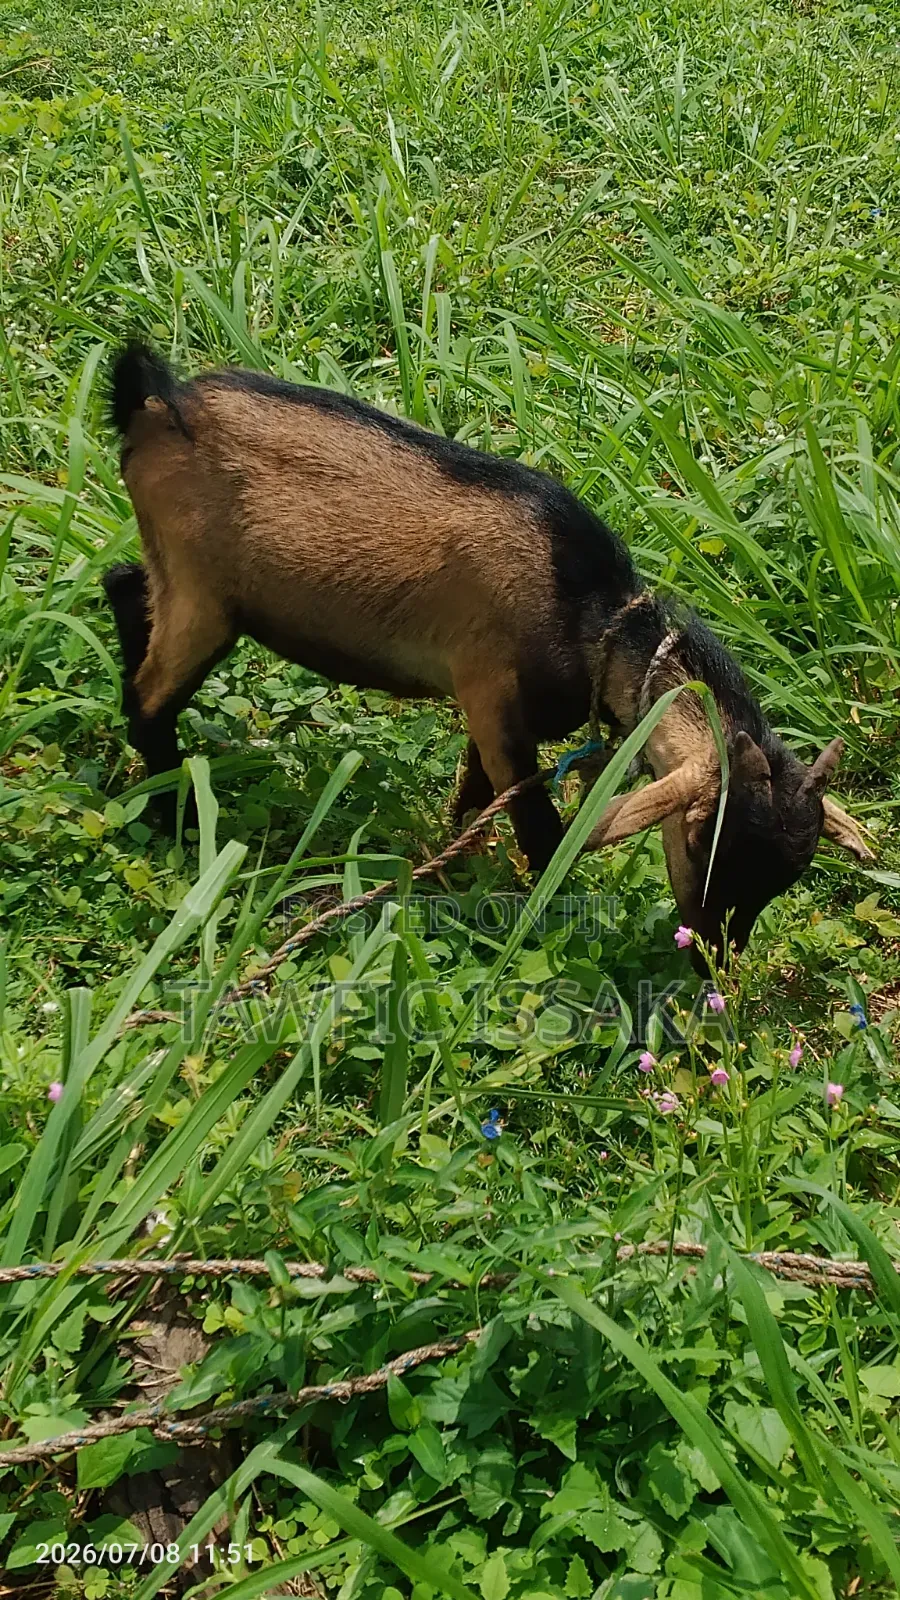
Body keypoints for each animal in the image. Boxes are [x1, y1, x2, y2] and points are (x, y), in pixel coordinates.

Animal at [103, 342, 872, 962]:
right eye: (705, 845)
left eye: (786, 876)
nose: (714, 960)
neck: (587, 615)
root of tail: (155, 404)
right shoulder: (493, 693)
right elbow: (539, 826)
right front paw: (541, 916)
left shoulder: (493, 711)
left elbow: (473, 795)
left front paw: (452, 867)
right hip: (204, 598)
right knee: (149, 697)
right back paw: (171, 816)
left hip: (180, 579)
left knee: (124, 586)